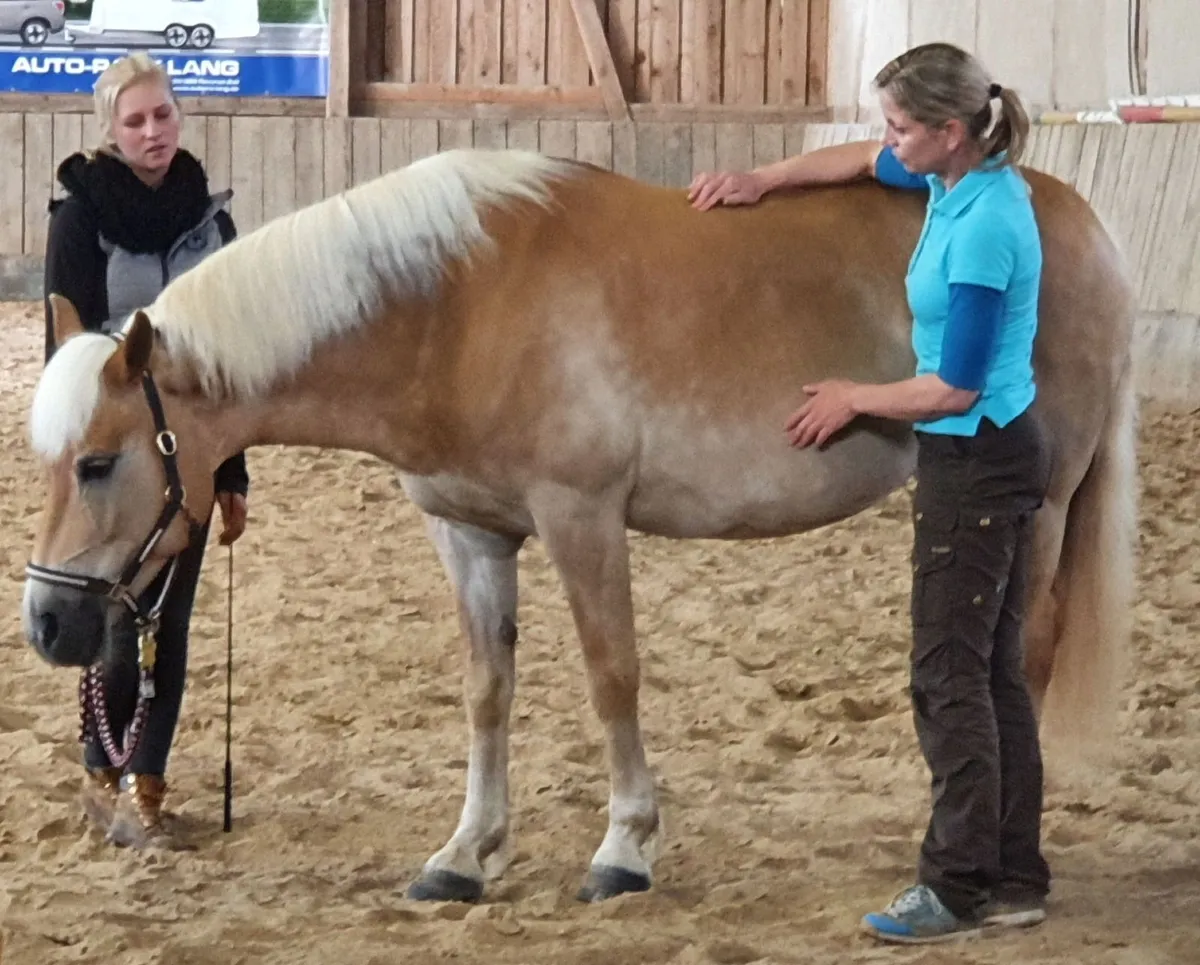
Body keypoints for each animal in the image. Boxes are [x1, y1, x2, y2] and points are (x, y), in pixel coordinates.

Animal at [21, 146, 1136, 904]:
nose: (48, 622)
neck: (453, 307)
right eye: (48, 458)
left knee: (1020, 661)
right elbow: (487, 691)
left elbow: (612, 676)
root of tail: (1077, 218)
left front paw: (624, 847)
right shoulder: (470, 534)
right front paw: (465, 855)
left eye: (100, 460)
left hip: (1036, 511)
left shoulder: (581, 516)